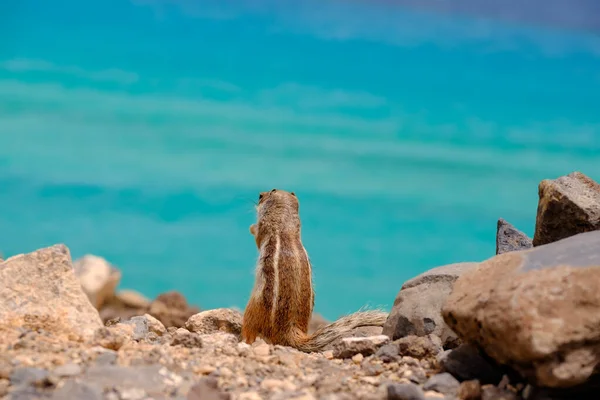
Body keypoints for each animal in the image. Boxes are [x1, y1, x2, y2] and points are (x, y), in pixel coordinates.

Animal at [241, 189, 386, 352]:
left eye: (260, 196)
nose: (260, 195)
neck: (285, 220)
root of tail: (290, 332)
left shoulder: (264, 228)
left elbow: (258, 237)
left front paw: (251, 227)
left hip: (253, 309)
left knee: (250, 331)